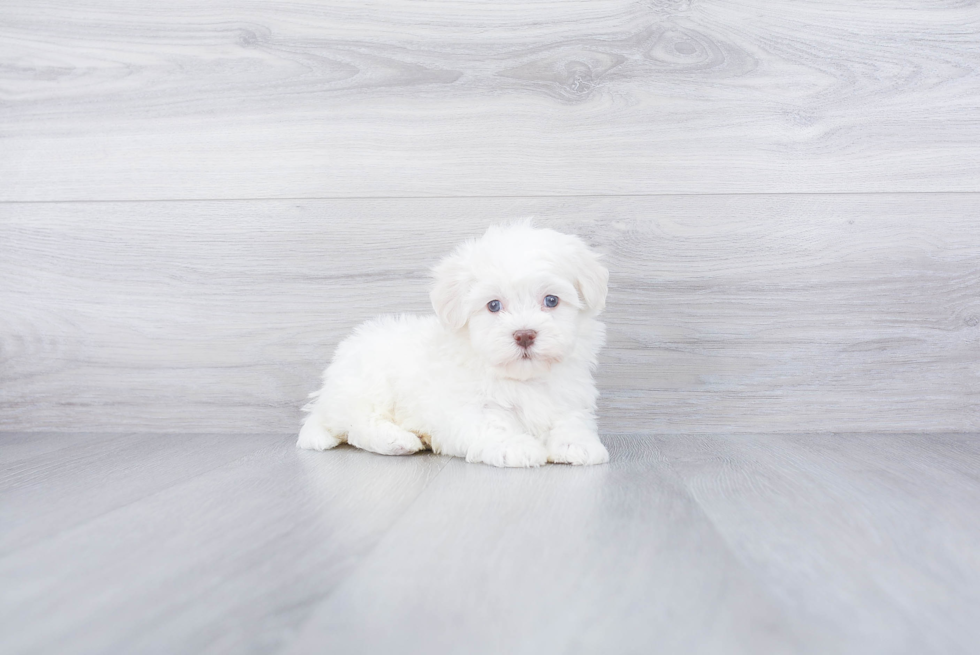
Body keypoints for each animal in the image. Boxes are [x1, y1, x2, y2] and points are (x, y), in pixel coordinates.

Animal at [294, 223, 608, 468]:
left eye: (551, 300)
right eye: (493, 305)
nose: (524, 334)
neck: (522, 379)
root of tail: (326, 394)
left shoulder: (568, 397)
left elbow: (571, 420)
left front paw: (577, 444)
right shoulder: (464, 408)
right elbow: (491, 423)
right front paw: (515, 446)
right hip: (368, 385)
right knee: (359, 425)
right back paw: (397, 440)